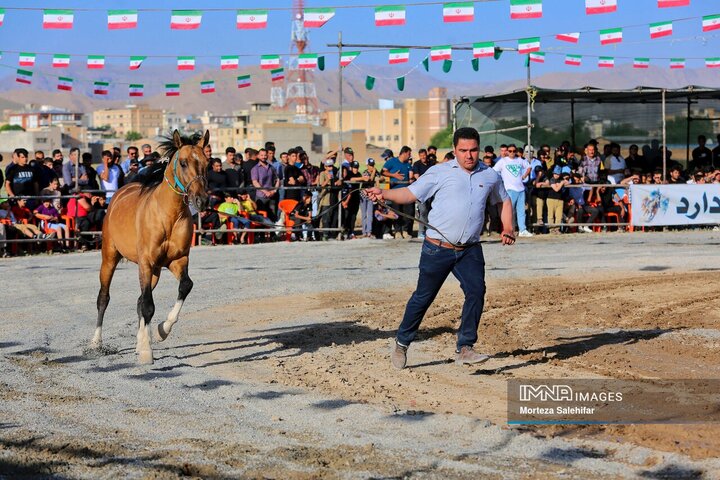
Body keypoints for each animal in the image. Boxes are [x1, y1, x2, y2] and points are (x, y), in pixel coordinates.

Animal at [91, 131, 210, 364]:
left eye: (206, 163)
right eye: (183, 163)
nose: (201, 200)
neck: (168, 215)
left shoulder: (177, 260)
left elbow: (185, 286)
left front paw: (161, 331)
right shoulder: (145, 262)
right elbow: (148, 305)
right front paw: (147, 352)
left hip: (155, 272)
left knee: (139, 300)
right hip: (109, 257)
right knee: (104, 298)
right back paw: (96, 342)